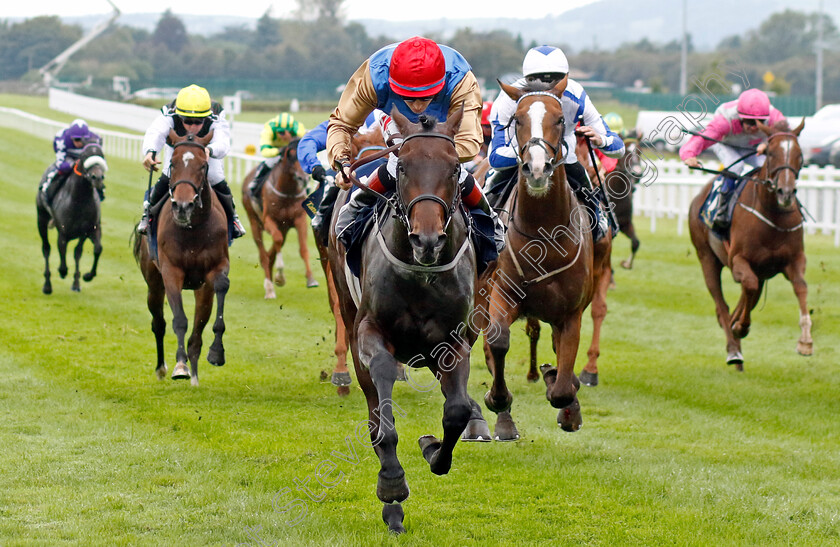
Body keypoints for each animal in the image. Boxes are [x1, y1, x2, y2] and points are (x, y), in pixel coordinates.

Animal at [133, 129, 230, 388]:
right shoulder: (171, 272)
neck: (193, 229)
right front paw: (180, 366)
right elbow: (179, 320)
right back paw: (162, 368)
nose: (183, 206)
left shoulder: (215, 268)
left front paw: (216, 352)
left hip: (200, 289)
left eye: (203, 165)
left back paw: (194, 372)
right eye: (172, 163)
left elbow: (220, 288)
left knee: (198, 329)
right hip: (153, 283)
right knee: (159, 323)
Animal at [246, 139, 322, 298]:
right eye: (291, 156)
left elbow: (303, 248)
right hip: (254, 222)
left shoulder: (299, 219)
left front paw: (311, 279)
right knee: (264, 253)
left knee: (271, 253)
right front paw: (280, 277)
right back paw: (269, 288)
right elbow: (277, 240)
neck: (287, 192)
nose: (303, 178)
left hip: (284, 227)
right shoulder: (268, 220)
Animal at [326, 109, 486, 532]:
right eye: (402, 167)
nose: (426, 241)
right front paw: (392, 484)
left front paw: (434, 450)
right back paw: (393, 505)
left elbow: (456, 411)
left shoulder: (453, 341)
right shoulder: (370, 332)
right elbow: (383, 418)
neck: (422, 274)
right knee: (371, 409)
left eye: (454, 169)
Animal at [472, 80, 604, 440]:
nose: (537, 168)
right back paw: (504, 421)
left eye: (560, 119)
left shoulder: (570, 312)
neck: (543, 232)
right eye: (516, 120)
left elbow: (562, 383)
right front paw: (498, 400)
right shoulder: (502, 294)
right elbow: (498, 341)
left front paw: (564, 397)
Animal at [688, 121, 812, 370]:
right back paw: (734, 350)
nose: (786, 192)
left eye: (800, 155)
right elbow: (748, 286)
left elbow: (801, 287)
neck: (774, 216)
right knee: (723, 305)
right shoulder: (738, 260)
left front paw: (805, 341)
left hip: (762, 270)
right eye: (770, 153)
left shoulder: (794, 261)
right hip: (707, 258)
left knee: (746, 298)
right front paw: (740, 327)